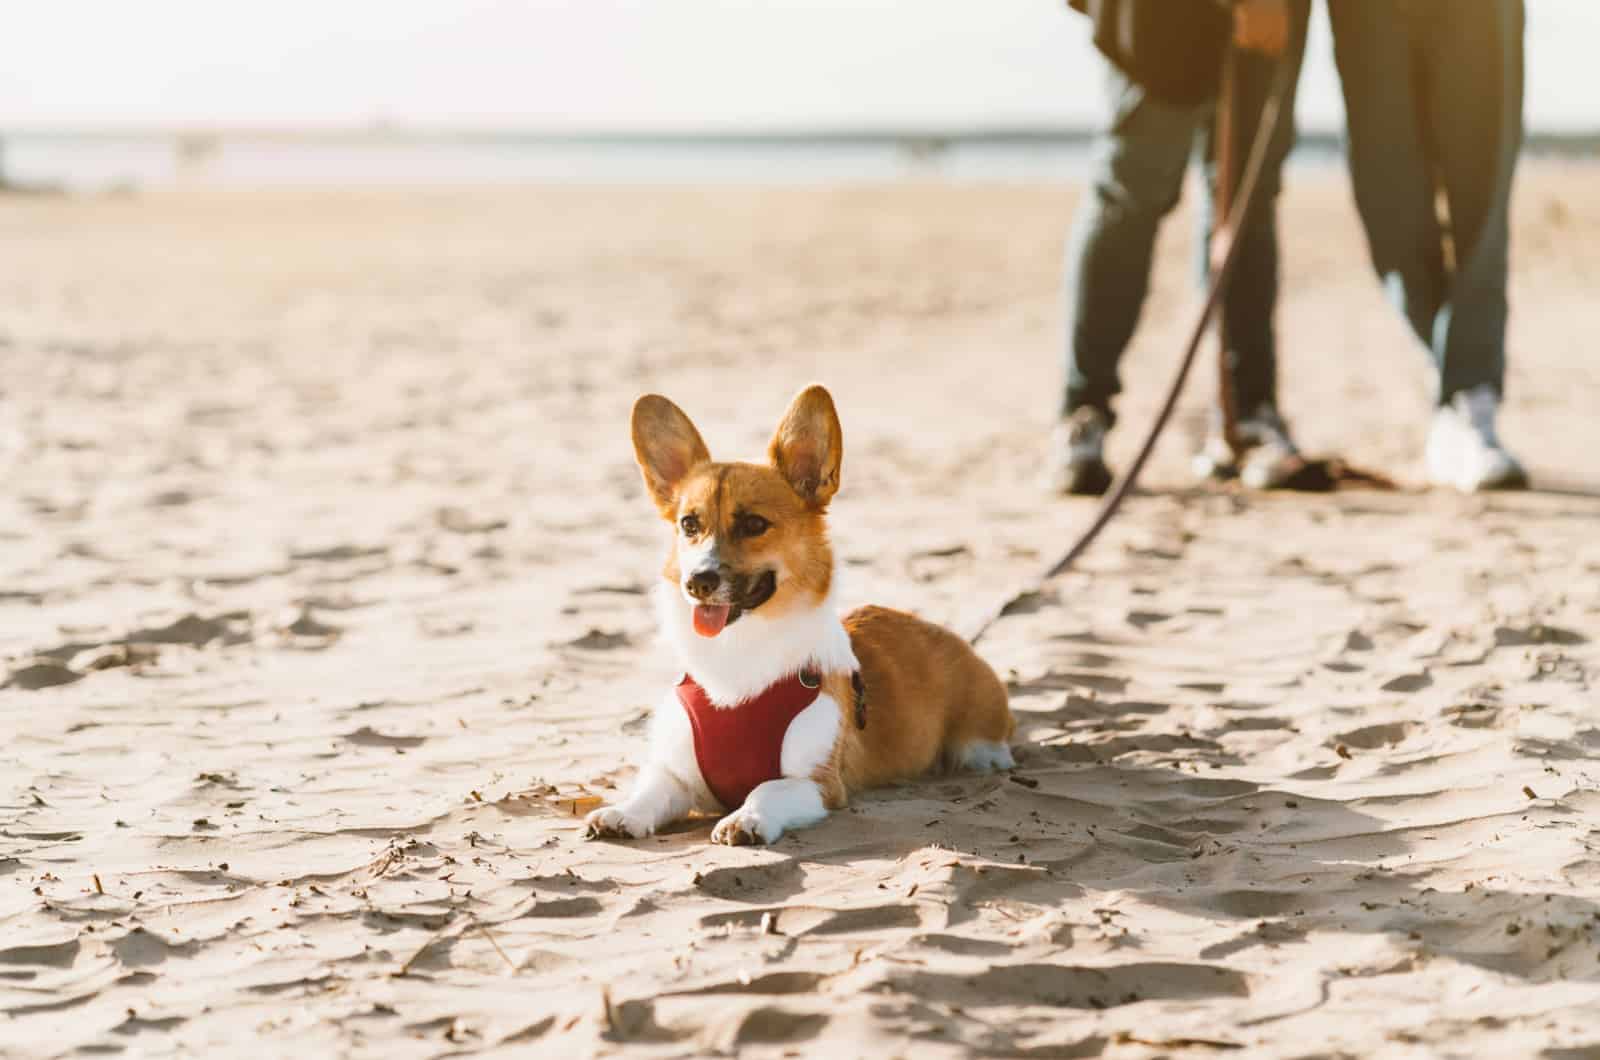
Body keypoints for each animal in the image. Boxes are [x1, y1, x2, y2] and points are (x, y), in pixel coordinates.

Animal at [585, 384, 1011, 845]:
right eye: (689, 524)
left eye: (754, 524)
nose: (698, 582)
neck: (737, 653)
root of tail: (934, 627)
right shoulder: (678, 777)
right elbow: (650, 790)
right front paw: (622, 812)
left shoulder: (818, 783)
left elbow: (766, 788)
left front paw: (745, 818)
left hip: (977, 737)